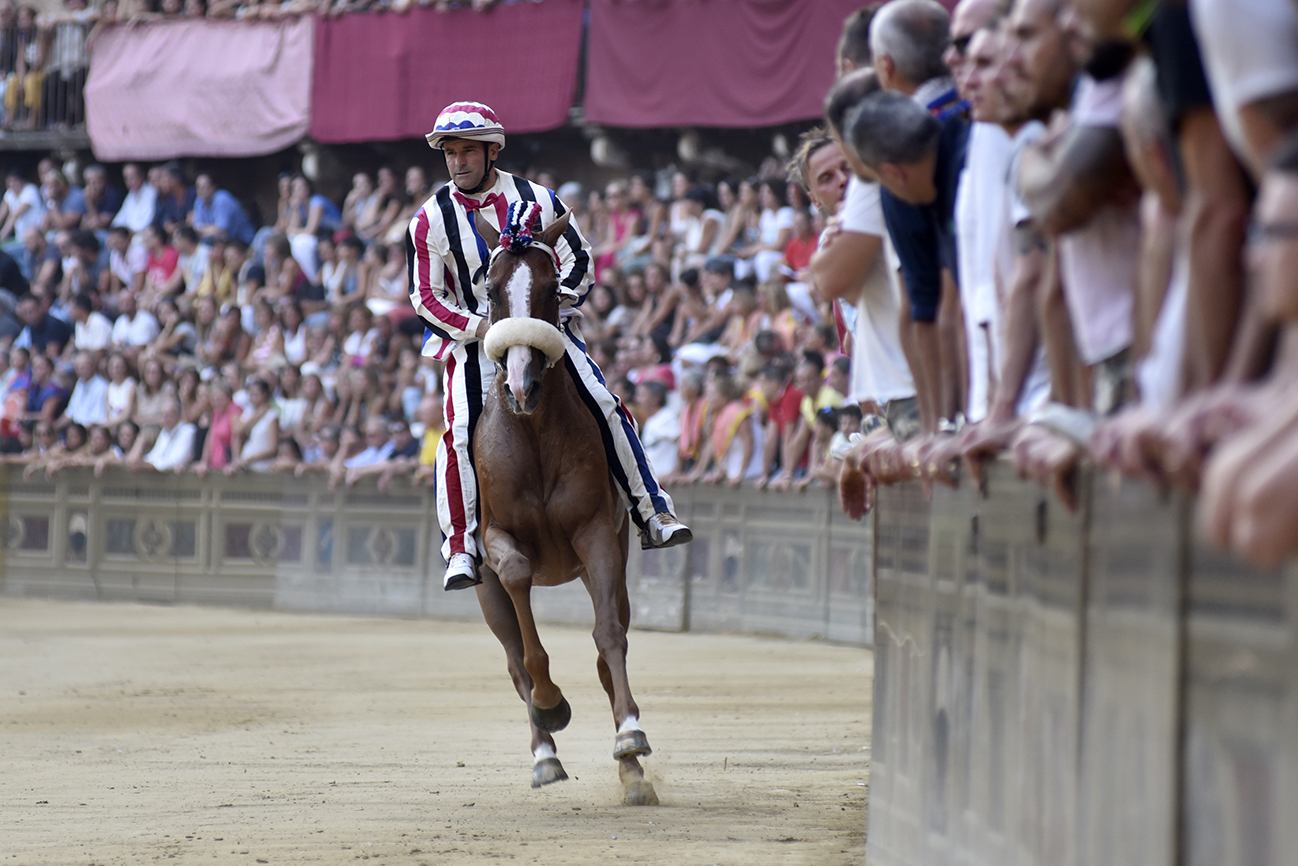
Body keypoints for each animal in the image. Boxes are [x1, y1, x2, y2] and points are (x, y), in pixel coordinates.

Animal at [469, 206, 659, 810]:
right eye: (491, 289)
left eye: (553, 288)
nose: (521, 386)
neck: (533, 435)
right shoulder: (496, 539)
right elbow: (520, 593)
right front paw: (552, 705)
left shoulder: (596, 532)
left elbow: (609, 636)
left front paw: (630, 739)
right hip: (483, 591)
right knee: (513, 663)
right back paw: (544, 755)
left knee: (608, 638)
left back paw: (630, 768)